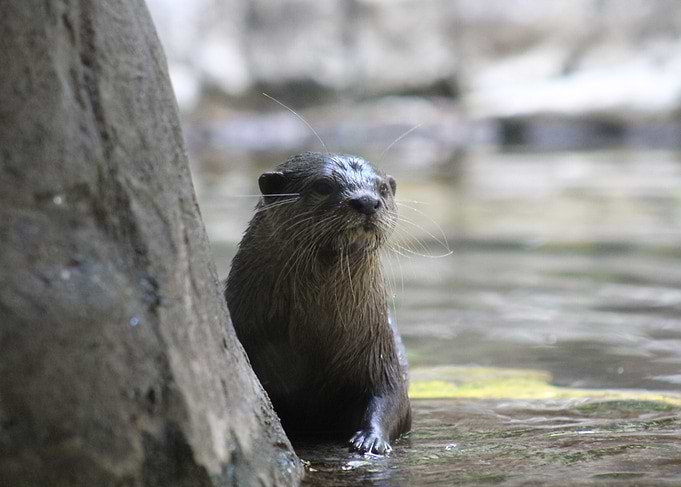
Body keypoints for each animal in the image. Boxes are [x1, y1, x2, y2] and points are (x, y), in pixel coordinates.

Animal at [225, 151, 411, 454]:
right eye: (323, 186)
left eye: (382, 188)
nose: (366, 201)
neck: (317, 338)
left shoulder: (380, 348)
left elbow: (393, 397)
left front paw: (370, 440)